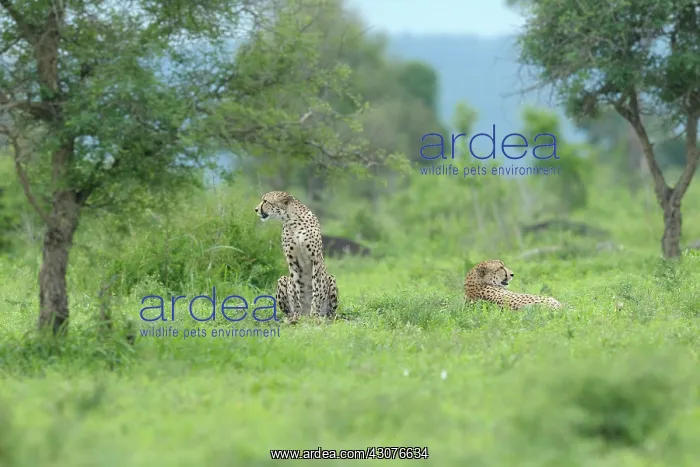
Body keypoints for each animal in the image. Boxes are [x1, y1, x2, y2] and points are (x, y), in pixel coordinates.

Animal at [254, 191, 338, 323]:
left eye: (265, 201)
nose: (256, 209)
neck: (292, 220)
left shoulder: (316, 259)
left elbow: (317, 288)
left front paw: (314, 313)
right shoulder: (292, 261)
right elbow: (296, 289)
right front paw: (298, 314)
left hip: (331, 279)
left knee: (331, 311)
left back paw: (325, 316)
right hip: (282, 279)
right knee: (287, 311)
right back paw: (291, 318)